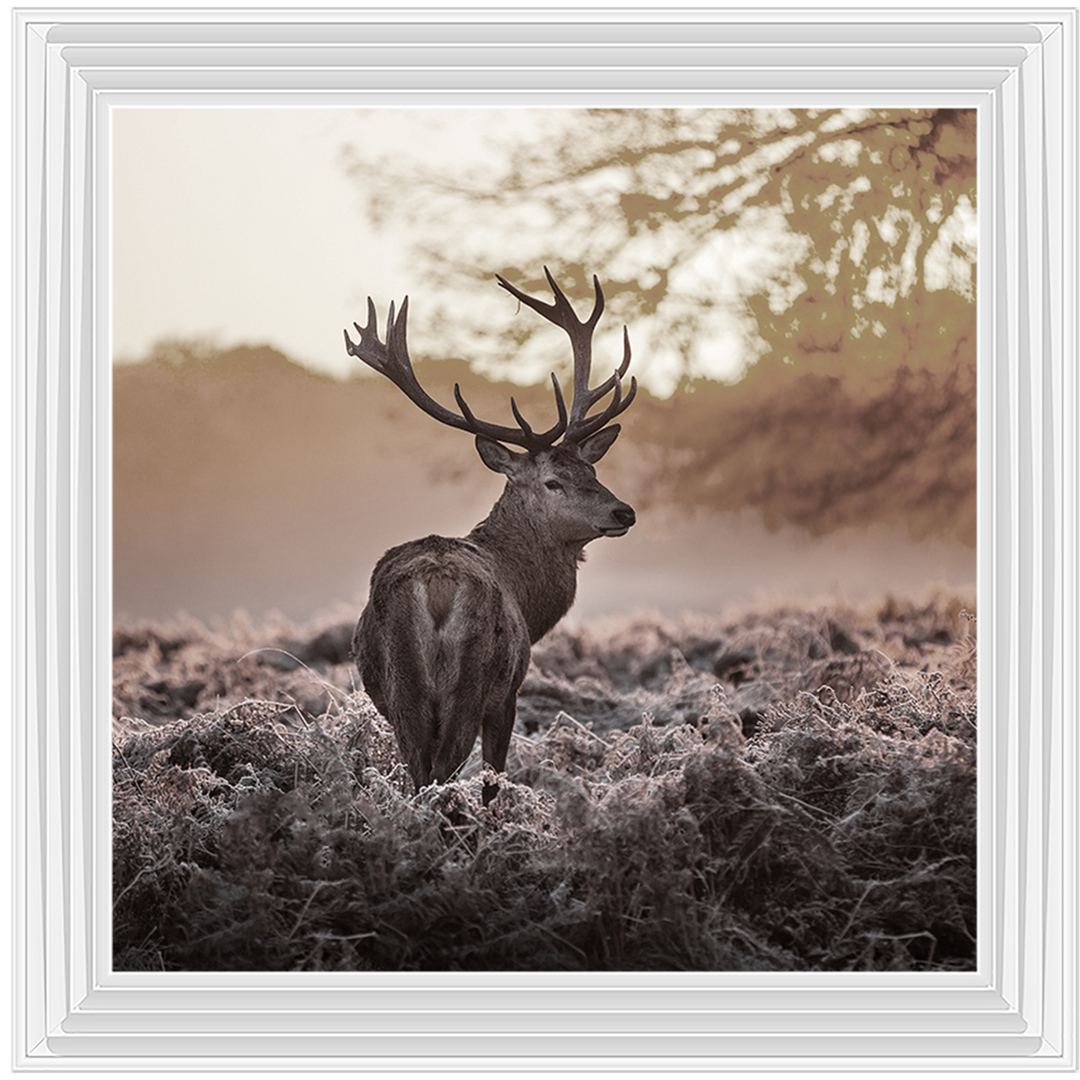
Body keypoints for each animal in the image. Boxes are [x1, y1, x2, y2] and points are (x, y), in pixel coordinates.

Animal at [345, 268, 637, 806]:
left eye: (591, 469)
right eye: (553, 481)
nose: (623, 511)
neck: (528, 597)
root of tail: (435, 586)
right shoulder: (509, 692)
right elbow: (493, 780)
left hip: (402, 689)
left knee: (419, 772)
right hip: (472, 680)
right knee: (443, 772)